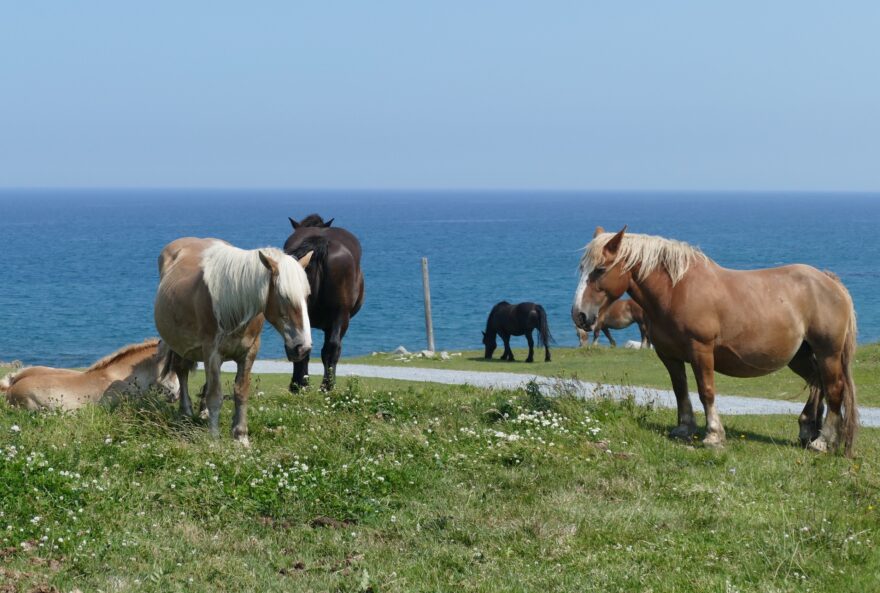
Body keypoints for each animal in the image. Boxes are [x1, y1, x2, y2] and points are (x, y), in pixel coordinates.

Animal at [155, 236, 312, 444]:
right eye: (284, 296)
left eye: (307, 296)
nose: (302, 348)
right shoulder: (212, 353)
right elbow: (215, 395)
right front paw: (214, 439)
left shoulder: (249, 353)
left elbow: (241, 392)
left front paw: (241, 436)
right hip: (180, 344)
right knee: (182, 371)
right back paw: (186, 414)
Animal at [572, 224, 860, 456]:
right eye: (582, 268)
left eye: (600, 269)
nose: (579, 315)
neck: (676, 290)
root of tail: (830, 282)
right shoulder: (669, 355)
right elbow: (680, 390)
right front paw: (684, 428)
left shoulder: (701, 350)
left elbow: (706, 391)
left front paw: (713, 435)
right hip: (800, 355)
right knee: (816, 383)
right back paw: (808, 429)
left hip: (828, 352)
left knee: (834, 389)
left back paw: (822, 441)